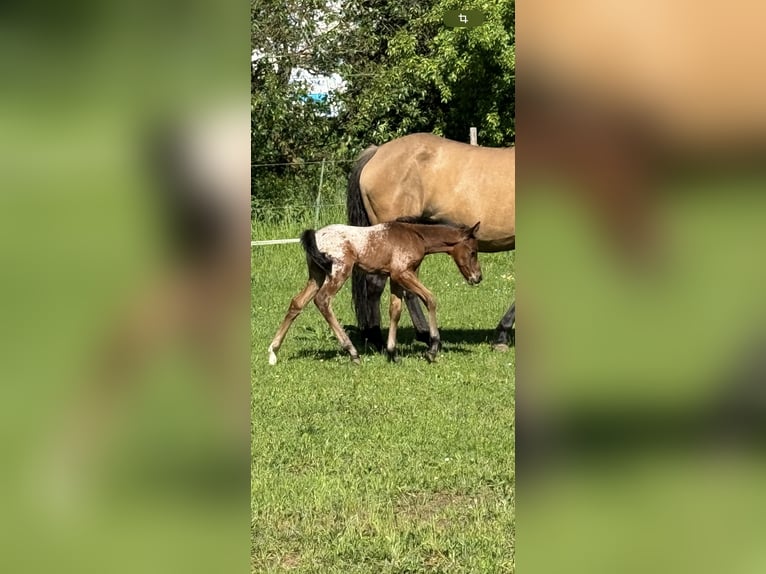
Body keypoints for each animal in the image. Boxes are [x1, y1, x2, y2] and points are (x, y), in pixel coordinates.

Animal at [270, 218, 484, 366]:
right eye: (473, 252)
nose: (478, 277)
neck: (416, 235)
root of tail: (315, 234)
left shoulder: (395, 278)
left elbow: (395, 310)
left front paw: (392, 353)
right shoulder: (402, 273)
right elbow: (430, 298)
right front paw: (432, 349)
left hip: (316, 275)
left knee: (297, 303)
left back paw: (273, 352)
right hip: (339, 271)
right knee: (322, 300)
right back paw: (352, 352)